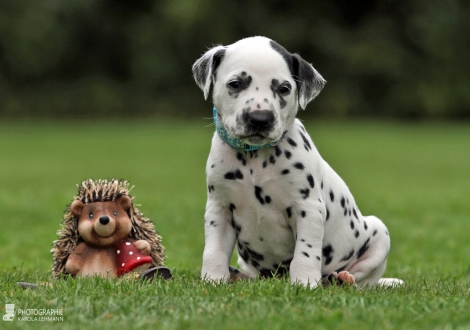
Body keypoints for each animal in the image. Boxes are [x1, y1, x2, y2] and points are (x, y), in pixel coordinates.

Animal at [193, 35, 402, 286]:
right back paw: (238, 276)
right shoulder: (219, 209)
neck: (255, 158)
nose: (260, 118)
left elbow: (306, 252)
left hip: (379, 234)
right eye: (235, 84)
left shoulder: (308, 208)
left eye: (284, 88)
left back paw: (342, 278)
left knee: (361, 280)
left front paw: (304, 282)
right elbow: (214, 250)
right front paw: (213, 279)